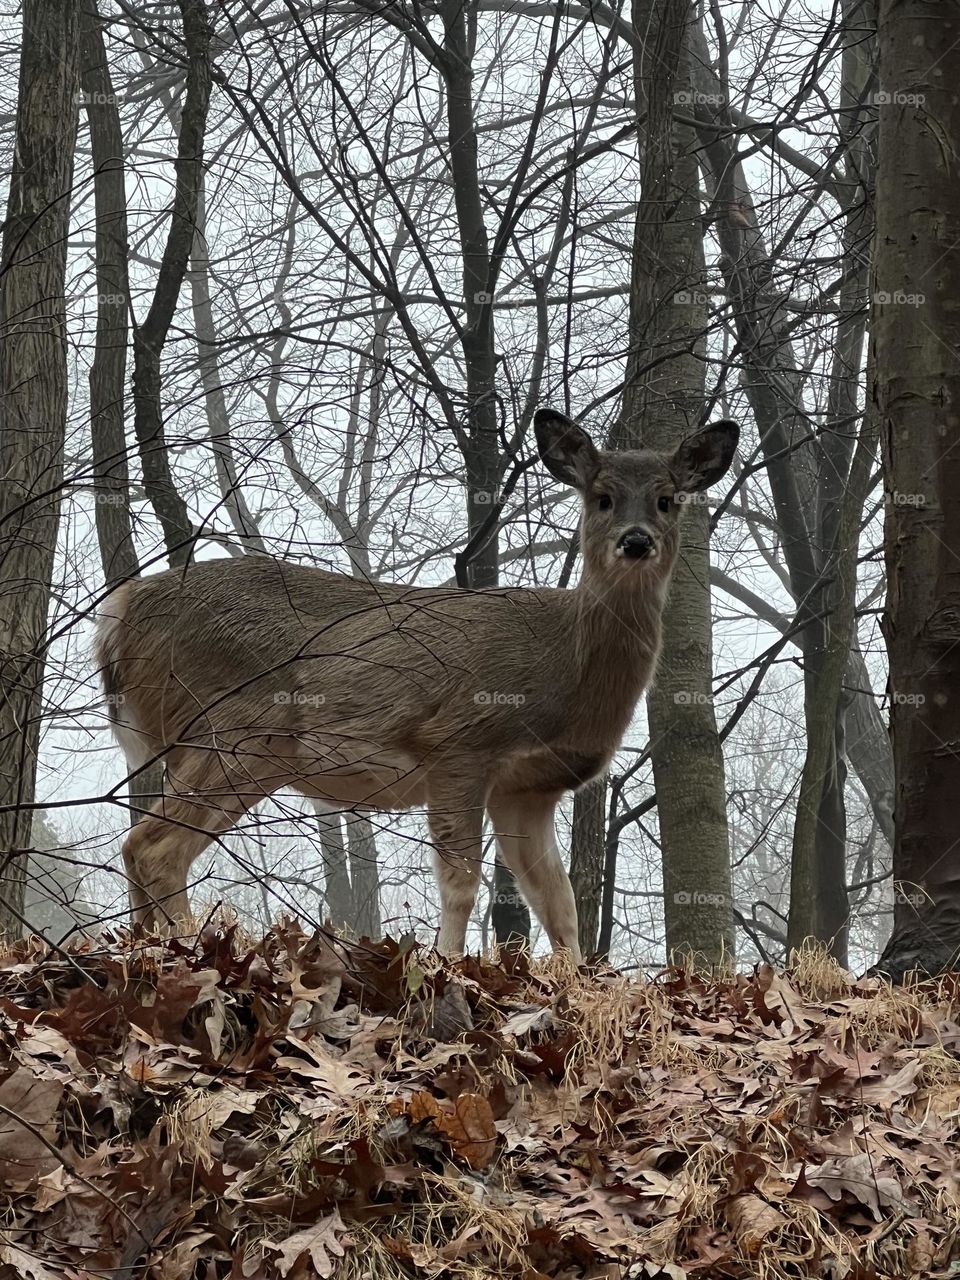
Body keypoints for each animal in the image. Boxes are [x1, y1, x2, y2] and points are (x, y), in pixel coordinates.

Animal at [97, 409, 742, 962]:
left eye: (667, 499)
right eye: (601, 497)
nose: (636, 540)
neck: (563, 661)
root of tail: (120, 615)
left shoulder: (528, 788)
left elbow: (558, 903)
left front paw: (577, 982)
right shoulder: (459, 742)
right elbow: (461, 883)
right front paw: (450, 965)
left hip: (240, 754)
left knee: (141, 847)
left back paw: (144, 948)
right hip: (228, 730)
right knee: (153, 847)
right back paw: (184, 947)